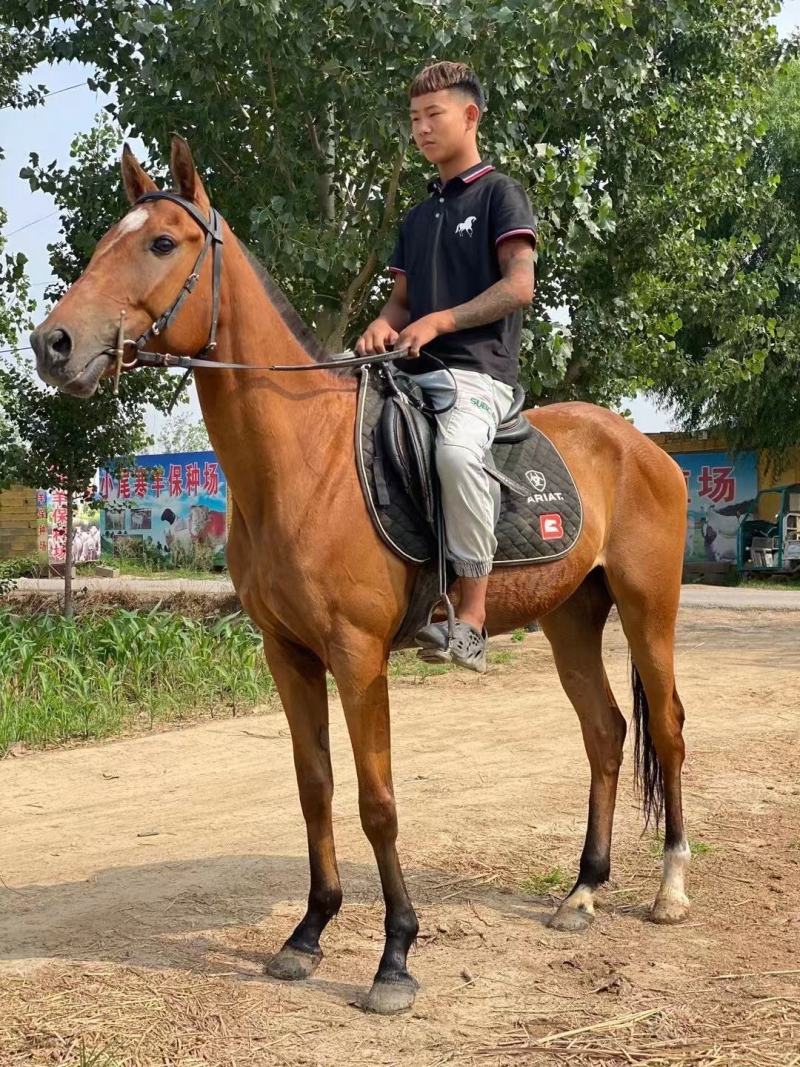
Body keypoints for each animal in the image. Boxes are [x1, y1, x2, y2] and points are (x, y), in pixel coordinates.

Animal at [31, 137, 691, 1015]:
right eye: (108, 239)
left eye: (162, 243)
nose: (53, 345)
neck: (305, 461)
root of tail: (644, 447)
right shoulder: (287, 653)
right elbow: (314, 787)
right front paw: (307, 933)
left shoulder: (357, 654)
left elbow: (378, 801)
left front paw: (395, 956)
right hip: (572, 618)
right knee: (607, 733)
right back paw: (583, 891)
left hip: (650, 611)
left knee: (670, 732)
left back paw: (670, 888)